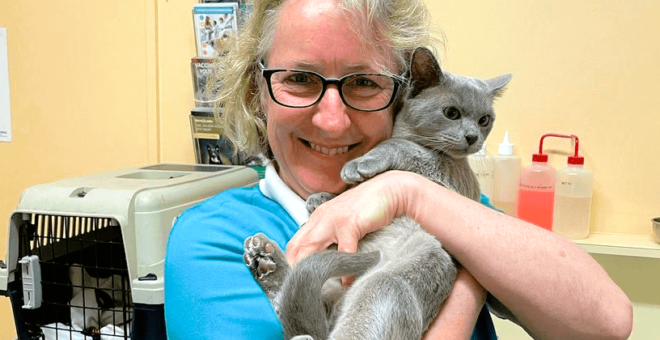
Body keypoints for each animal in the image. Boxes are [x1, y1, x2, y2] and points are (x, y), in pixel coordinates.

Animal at [242, 47, 510, 340]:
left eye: (484, 120)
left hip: (395, 278)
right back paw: (266, 260)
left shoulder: (454, 183)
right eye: (451, 113)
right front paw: (321, 198)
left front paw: (357, 167)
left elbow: (401, 146)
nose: (473, 137)